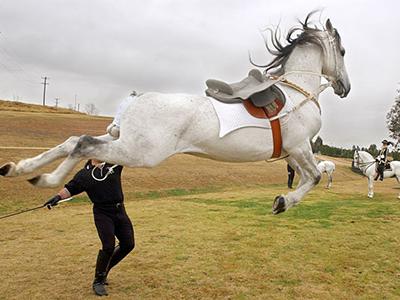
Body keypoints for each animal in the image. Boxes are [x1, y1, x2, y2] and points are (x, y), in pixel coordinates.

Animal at [0, 12, 350, 214]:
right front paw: (282, 202)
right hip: (141, 152)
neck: (298, 92)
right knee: (83, 143)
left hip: (123, 140)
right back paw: (46, 179)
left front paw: (282, 200)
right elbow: (315, 176)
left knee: (73, 140)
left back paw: (21, 169)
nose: (344, 87)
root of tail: (135, 99)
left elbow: (308, 175)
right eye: (344, 51)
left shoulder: (292, 152)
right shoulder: (299, 146)